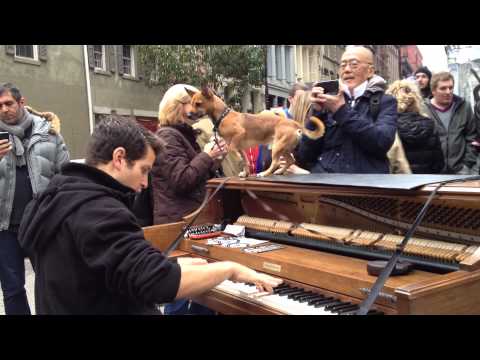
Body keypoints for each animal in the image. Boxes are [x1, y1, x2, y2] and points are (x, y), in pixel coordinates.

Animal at [186, 87, 324, 177]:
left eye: (198, 104)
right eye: (191, 103)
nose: (188, 115)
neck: (223, 116)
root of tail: (293, 123)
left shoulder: (237, 137)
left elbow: (231, 149)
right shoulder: (241, 148)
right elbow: (246, 161)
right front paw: (245, 173)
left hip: (277, 147)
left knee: (276, 162)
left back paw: (265, 173)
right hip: (283, 148)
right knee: (290, 161)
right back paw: (280, 171)